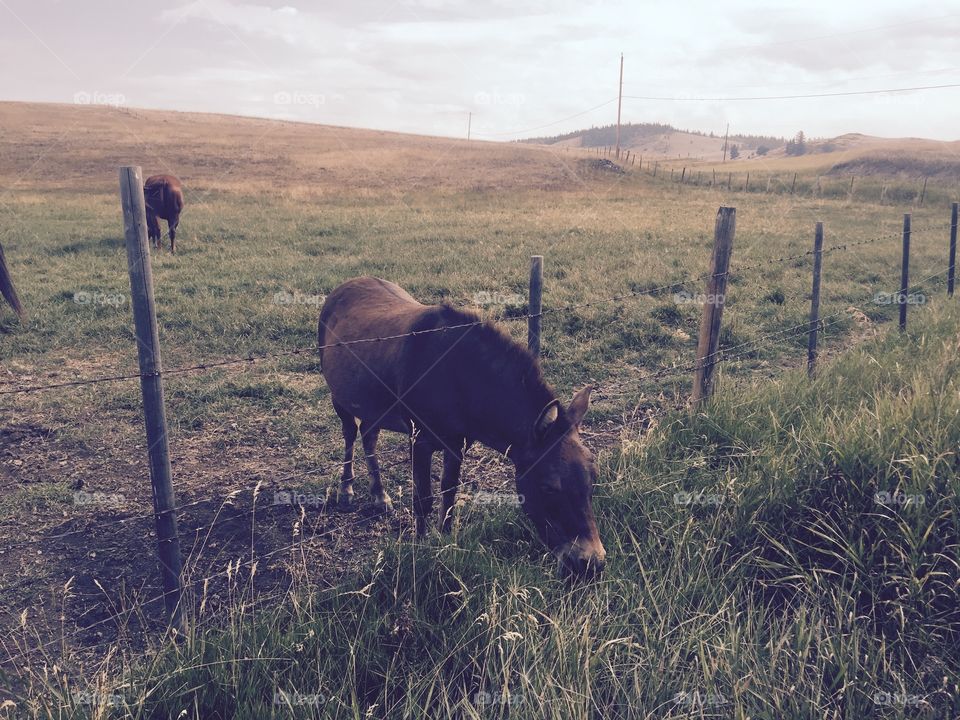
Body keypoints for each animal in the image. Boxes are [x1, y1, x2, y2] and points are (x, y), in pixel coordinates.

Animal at [320, 278, 608, 580]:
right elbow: (422, 499)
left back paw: (379, 495)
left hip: (374, 407)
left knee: (369, 435)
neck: (458, 378)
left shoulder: (457, 442)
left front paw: (445, 540)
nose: (592, 563)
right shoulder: (419, 441)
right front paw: (420, 546)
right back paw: (346, 489)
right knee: (350, 434)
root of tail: (343, 288)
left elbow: (448, 493)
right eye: (548, 487)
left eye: (593, 476)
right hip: (340, 398)